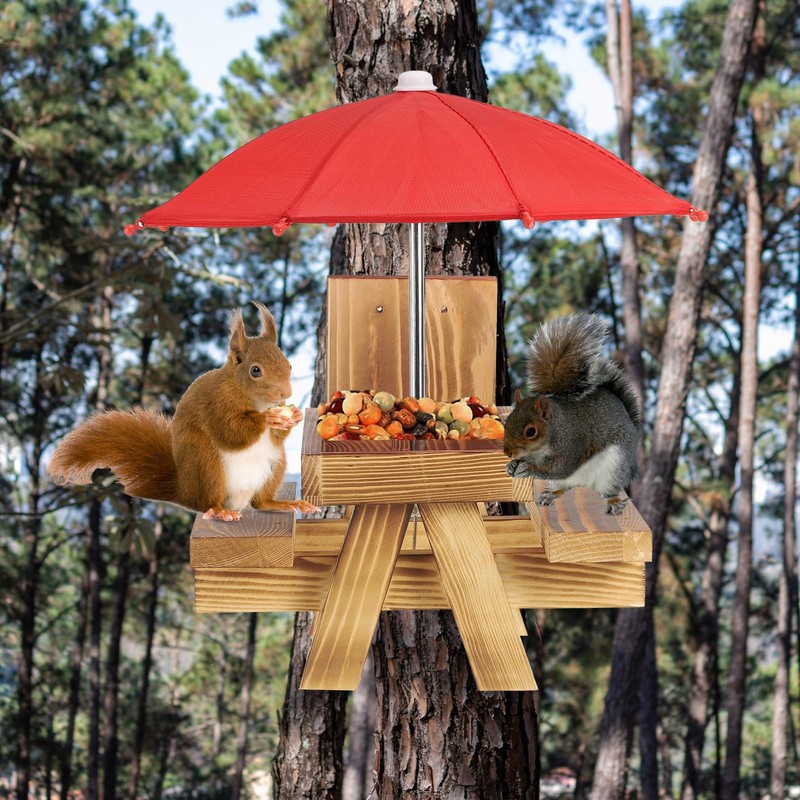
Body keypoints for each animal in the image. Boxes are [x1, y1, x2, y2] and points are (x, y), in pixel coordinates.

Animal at [48, 302, 317, 522]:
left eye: (288, 364)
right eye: (255, 371)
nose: (285, 393)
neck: (255, 399)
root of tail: (184, 490)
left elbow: (275, 436)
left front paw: (293, 417)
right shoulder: (215, 403)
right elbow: (230, 431)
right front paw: (267, 418)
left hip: (275, 464)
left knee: (260, 502)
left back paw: (281, 504)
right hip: (206, 465)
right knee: (206, 502)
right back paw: (218, 511)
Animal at [503, 312, 642, 515]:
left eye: (530, 432)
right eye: (507, 422)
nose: (507, 452)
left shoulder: (571, 445)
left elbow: (560, 467)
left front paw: (527, 467)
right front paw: (512, 465)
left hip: (615, 468)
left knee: (607, 490)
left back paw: (614, 502)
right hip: (568, 481)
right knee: (566, 486)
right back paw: (552, 494)